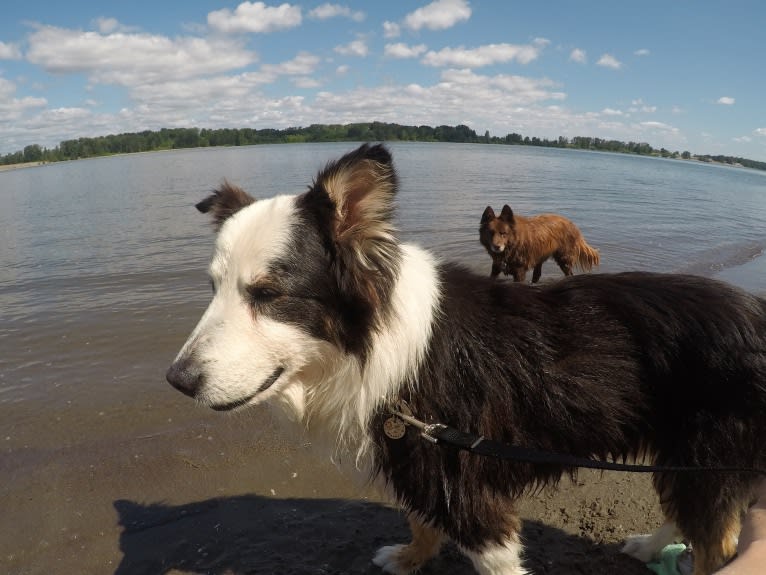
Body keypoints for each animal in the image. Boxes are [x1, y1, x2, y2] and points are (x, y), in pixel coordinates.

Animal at [166, 144, 766, 575]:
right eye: (213, 288)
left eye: (268, 294)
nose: (176, 380)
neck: (372, 345)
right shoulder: (416, 453)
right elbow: (420, 521)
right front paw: (409, 559)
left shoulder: (466, 486)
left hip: (707, 456)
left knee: (714, 536)